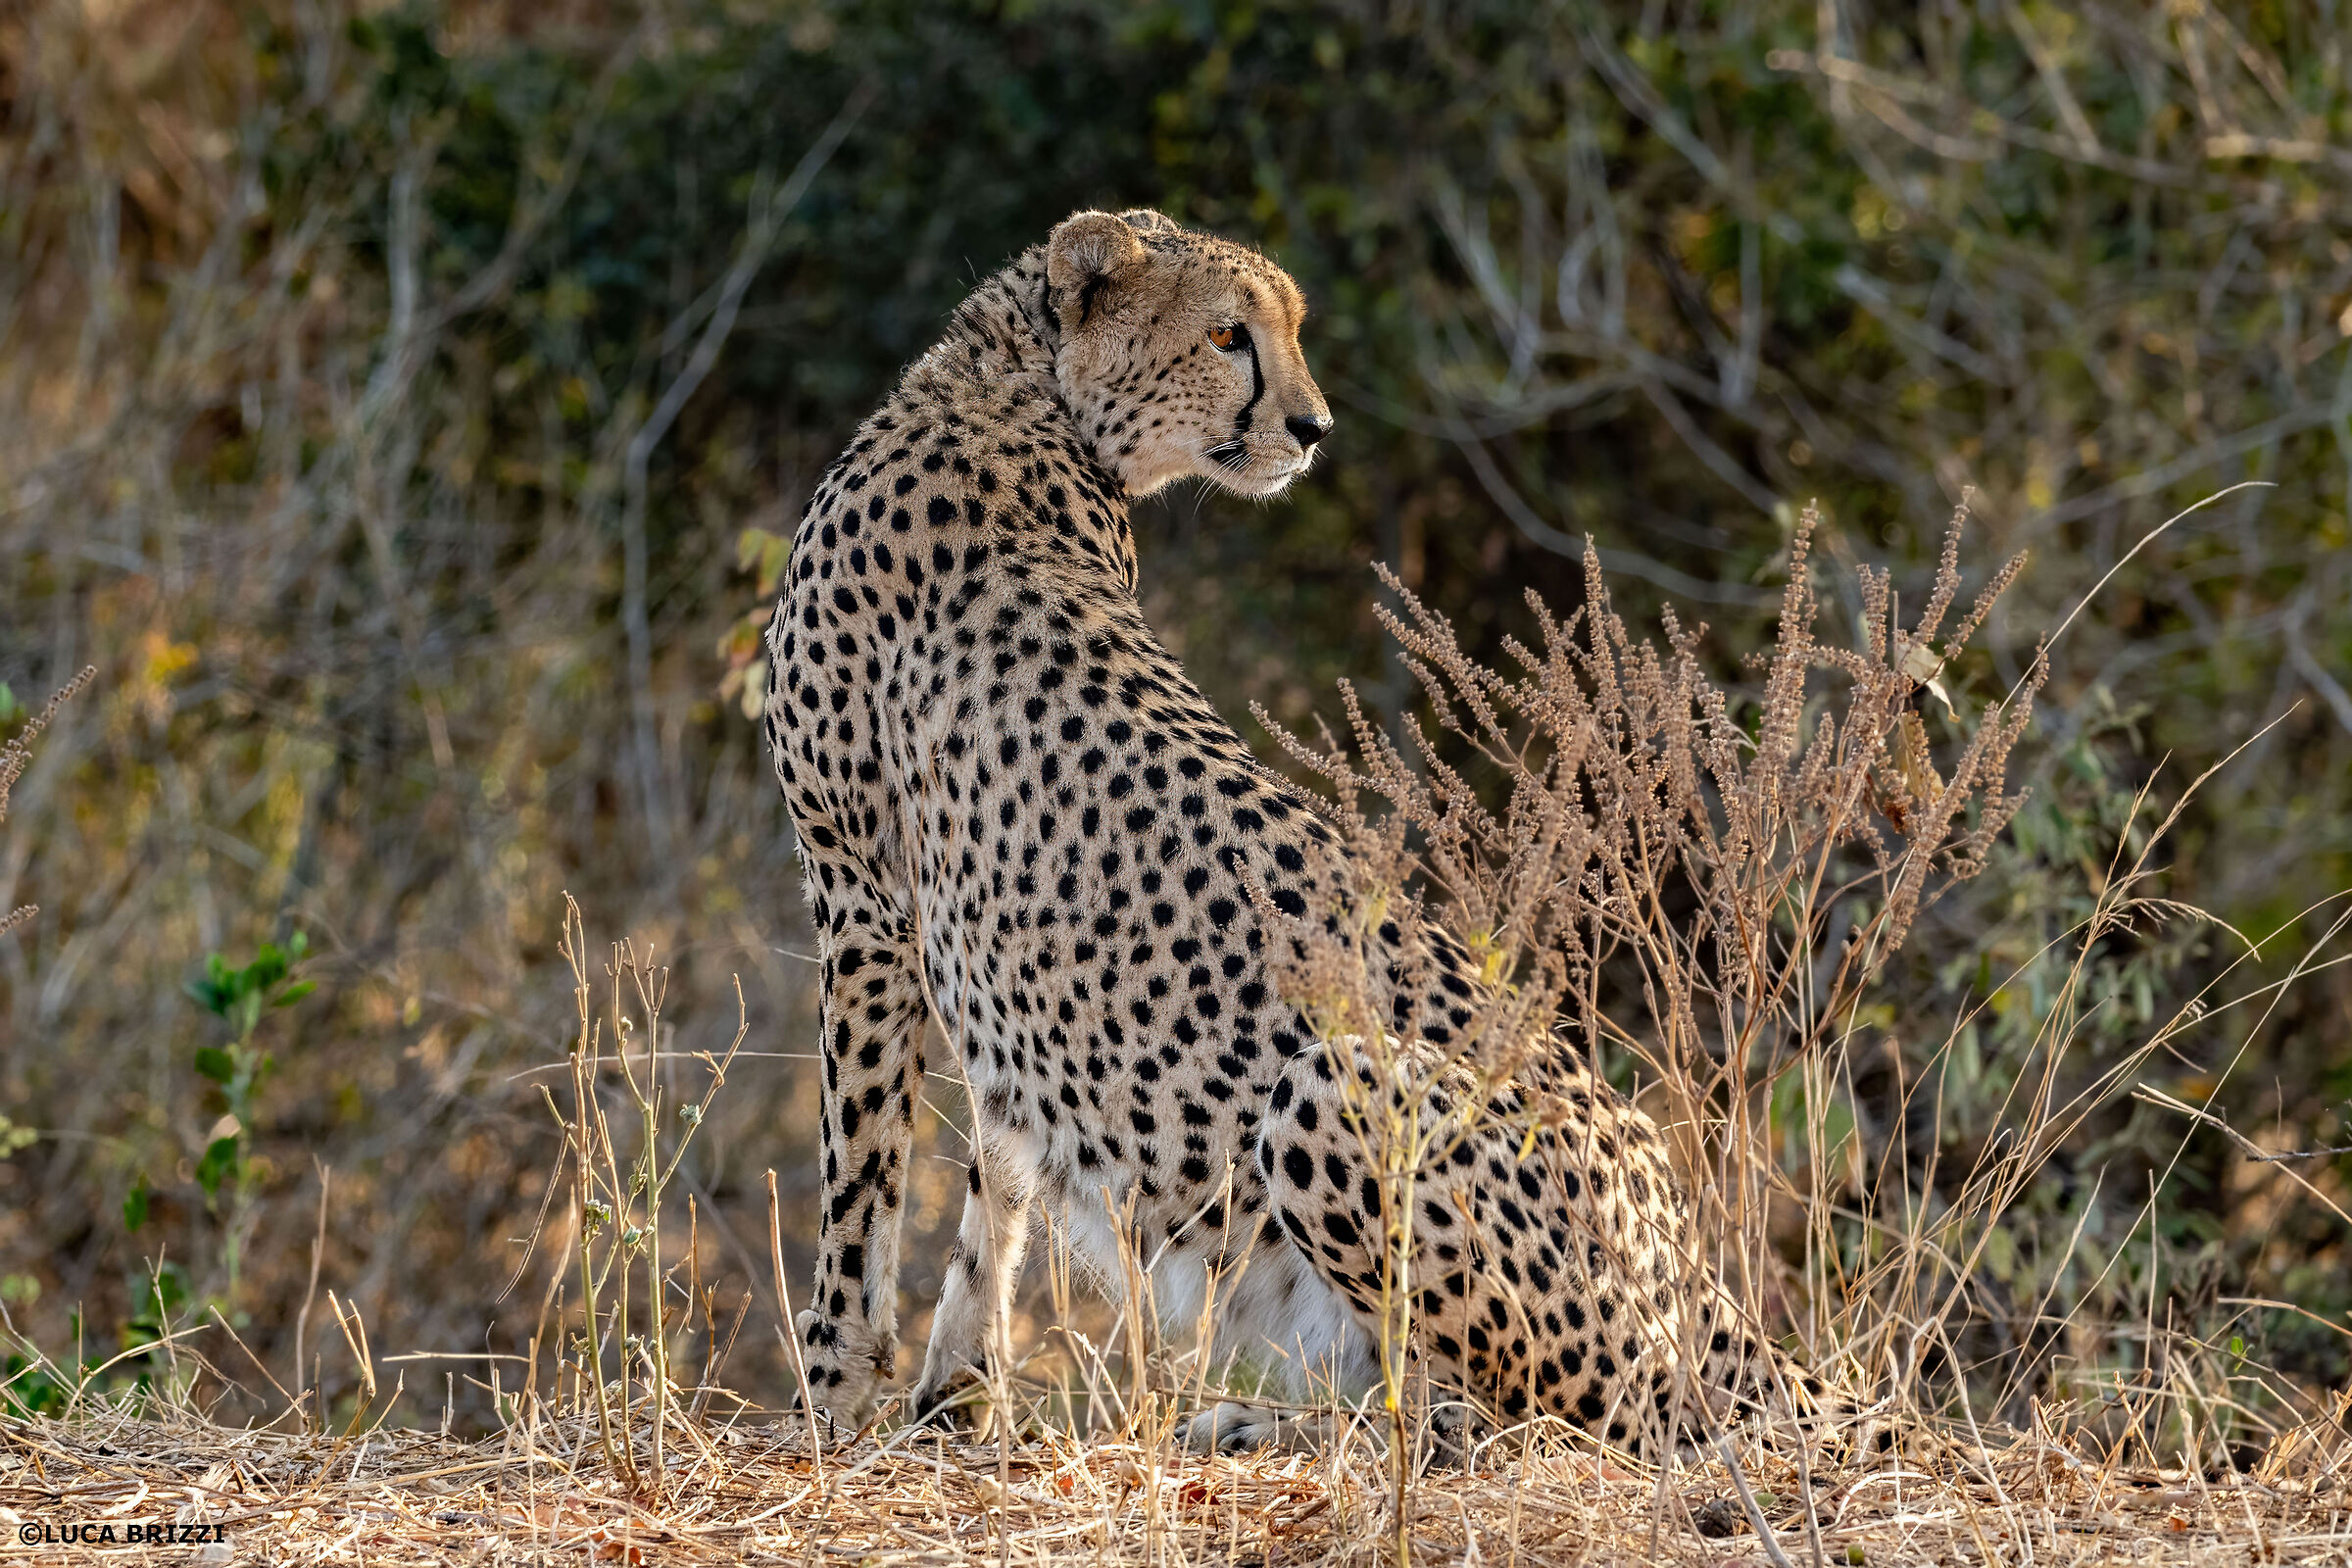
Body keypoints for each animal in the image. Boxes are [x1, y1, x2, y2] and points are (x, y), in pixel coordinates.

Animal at [760, 207, 1817, 1461]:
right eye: (1230, 333)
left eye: (1283, 330)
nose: (1312, 428)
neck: (1019, 392)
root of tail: (1697, 1271)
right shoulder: (959, 955)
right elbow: (993, 1191)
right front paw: (950, 1401)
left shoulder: (862, 901)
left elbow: (861, 1177)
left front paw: (831, 1397)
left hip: (1334, 1087)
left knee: (1540, 1422)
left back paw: (1260, 1425)